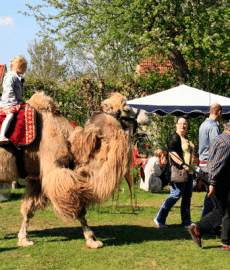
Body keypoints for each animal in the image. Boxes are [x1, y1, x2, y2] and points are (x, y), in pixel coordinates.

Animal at [0, 92, 138, 248]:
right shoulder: (56, 169)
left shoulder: (36, 179)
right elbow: (76, 204)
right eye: (127, 109)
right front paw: (92, 240)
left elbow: (29, 209)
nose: (146, 116)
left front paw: (24, 239)